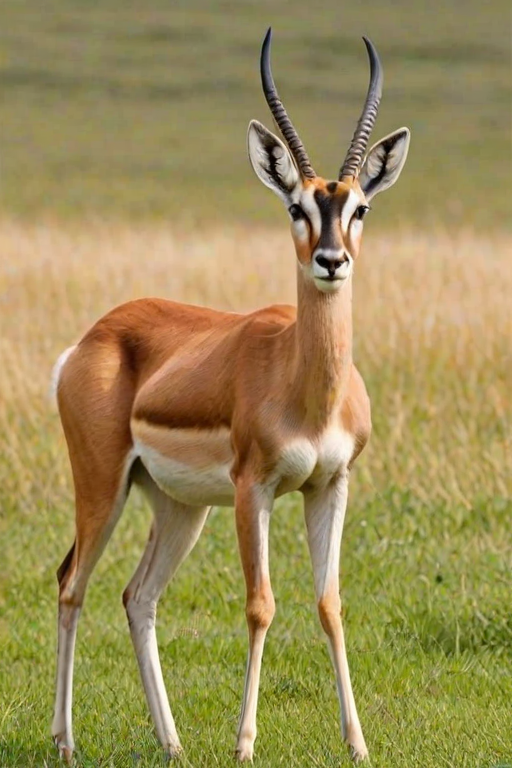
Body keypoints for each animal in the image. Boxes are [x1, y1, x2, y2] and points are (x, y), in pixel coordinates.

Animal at [51, 28, 410, 764]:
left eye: (358, 207)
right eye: (296, 207)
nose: (332, 261)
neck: (307, 390)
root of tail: (92, 337)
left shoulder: (331, 485)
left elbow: (330, 604)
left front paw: (358, 743)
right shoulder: (255, 488)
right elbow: (260, 603)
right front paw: (245, 743)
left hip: (177, 507)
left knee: (137, 596)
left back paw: (172, 743)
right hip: (101, 487)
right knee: (73, 587)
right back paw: (66, 742)